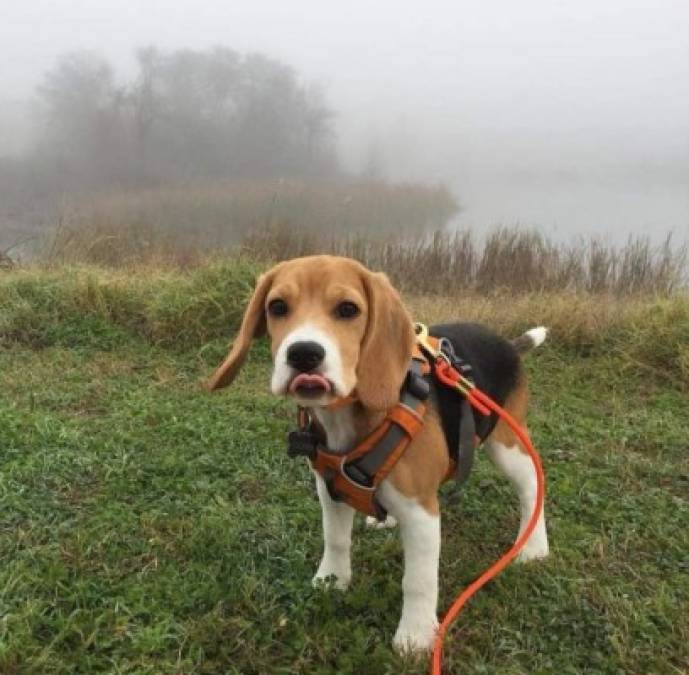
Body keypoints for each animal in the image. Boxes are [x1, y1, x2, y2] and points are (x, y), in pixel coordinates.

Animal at [207, 255, 552, 656]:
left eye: (348, 309)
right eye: (277, 307)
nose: (304, 354)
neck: (348, 417)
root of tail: (508, 345)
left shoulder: (421, 511)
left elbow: (418, 580)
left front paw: (415, 636)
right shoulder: (330, 489)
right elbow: (336, 539)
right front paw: (331, 580)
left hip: (506, 443)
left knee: (531, 487)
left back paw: (533, 546)